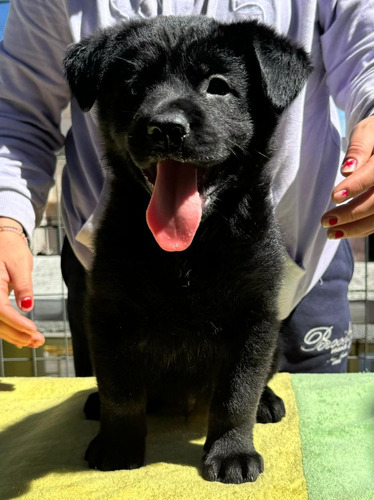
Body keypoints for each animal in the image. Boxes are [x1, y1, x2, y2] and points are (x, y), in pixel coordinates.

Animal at [64, 16, 310, 484]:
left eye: (218, 86)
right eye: (134, 87)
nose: (165, 127)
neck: (188, 251)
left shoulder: (254, 316)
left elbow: (236, 394)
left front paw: (232, 452)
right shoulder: (110, 312)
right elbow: (121, 391)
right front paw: (118, 445)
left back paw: (268, 401)